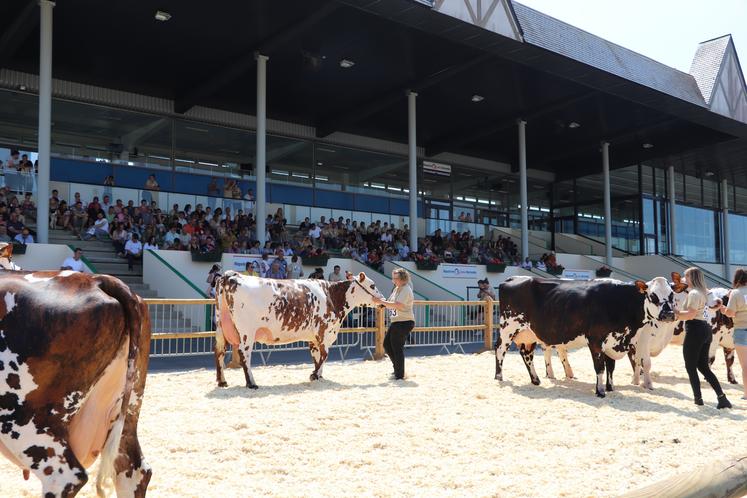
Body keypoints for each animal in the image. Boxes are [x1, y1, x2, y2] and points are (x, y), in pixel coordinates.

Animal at [213, 268, 382, 390]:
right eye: (373, 285)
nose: (383, 300)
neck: (331, 296)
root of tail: (231, 275)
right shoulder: (324, 332)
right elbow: (325, 354)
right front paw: (314, 375)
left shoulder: (313, 338)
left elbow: (317, 356)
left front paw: (319, 376)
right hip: (247, 332)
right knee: (244, 354)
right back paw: (251, 383)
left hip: (221, 327)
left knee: (219, 351)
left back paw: (222, 382)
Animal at [496, 276, 676, 396]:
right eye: (652, 296)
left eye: (672, 295)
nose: (668, 314)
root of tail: (514, 278)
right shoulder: (596, 340)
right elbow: (600, 367)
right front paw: (600, 391)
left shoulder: (612, 341)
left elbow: (611, 367)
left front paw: (610, 388)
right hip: (507, 328)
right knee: (500, 350)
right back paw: (499, 376)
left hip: (529, 334)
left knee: (527, 355)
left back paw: (535, 380)